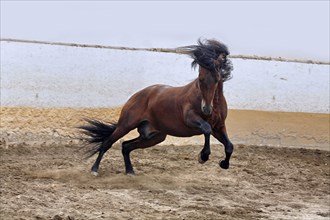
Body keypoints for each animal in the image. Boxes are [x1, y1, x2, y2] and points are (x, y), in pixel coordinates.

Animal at [81, 38, 233, 175]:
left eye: (217, 78)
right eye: (200, 79)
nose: (206, 109)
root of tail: (136, 95)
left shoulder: (219, 127)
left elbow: (229, 146)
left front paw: (224, 164)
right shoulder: (191, 120)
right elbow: (206, 129)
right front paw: (203, 156)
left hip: (154, 136)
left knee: (126, 146)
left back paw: (130, 172)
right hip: (126, 125)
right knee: (107, 143)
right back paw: (94, 170)